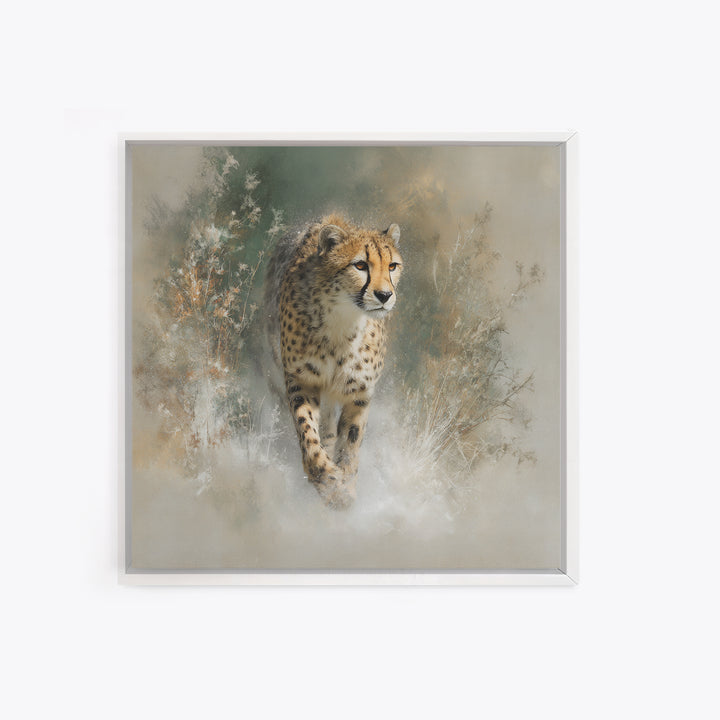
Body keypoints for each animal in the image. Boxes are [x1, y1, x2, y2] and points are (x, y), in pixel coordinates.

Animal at [264, 214, 403, 509]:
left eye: (392, 266)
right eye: (360, 265)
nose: (385, 296)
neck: (344, 320)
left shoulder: (360, 392)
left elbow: (351, 441)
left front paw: (345, 487)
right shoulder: (301, 379)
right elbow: (307, 430)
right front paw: (325, 476)